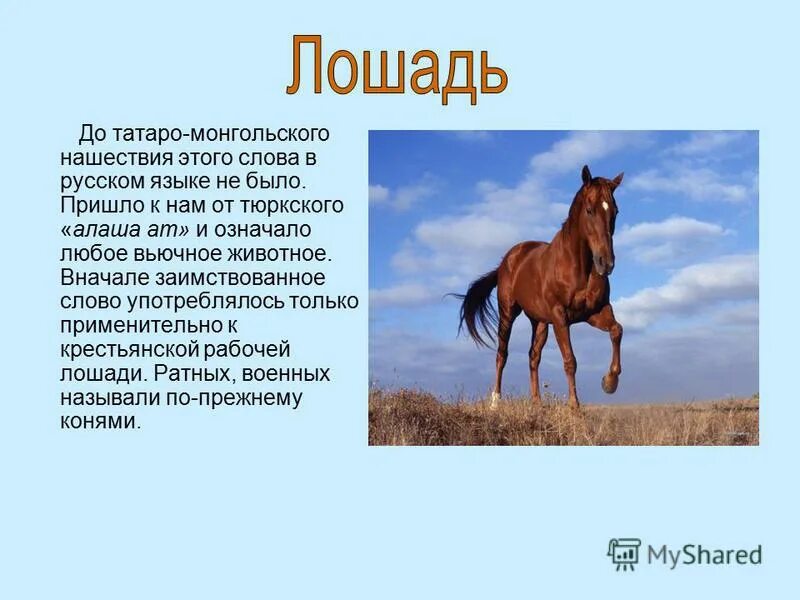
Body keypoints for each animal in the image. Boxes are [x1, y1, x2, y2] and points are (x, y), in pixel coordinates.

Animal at [455, 165, 624, 409]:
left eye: (615, 211)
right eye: (589, 210)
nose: (606, 263)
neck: (578, 267)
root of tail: (506, 262)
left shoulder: (595, 312)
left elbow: (617, 331)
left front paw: (609, 382)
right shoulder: (561, 317)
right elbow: (570, 360)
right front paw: (574, 406)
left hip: (540, 322)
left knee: (533, 357)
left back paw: (536, 402)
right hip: (508, 313)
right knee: (502, 354)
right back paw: (495, 401)